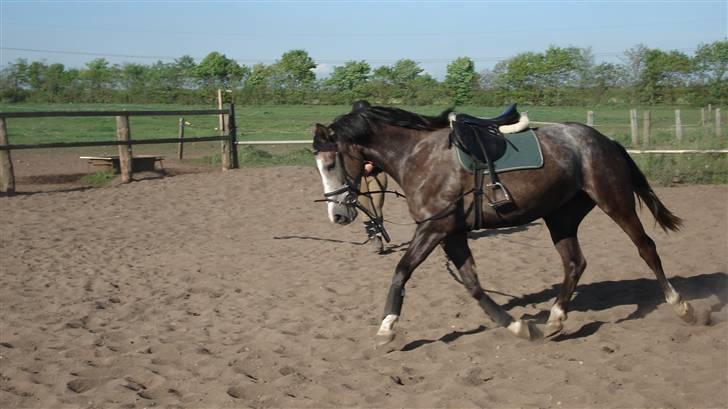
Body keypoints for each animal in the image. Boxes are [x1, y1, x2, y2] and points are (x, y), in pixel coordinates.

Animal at [310, 102, 696, 344]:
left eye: (330, 163)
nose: (338, 215)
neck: (419, 156)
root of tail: (603, 140)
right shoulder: (452, 234)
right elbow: (474, 286)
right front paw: (519, 327)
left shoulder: (434, 229)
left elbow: (401, 271)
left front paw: (387, 327)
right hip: (560, 216)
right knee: (575, 263)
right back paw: (554, 319)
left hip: (615, 202)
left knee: (646, 248)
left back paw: (681, 306)